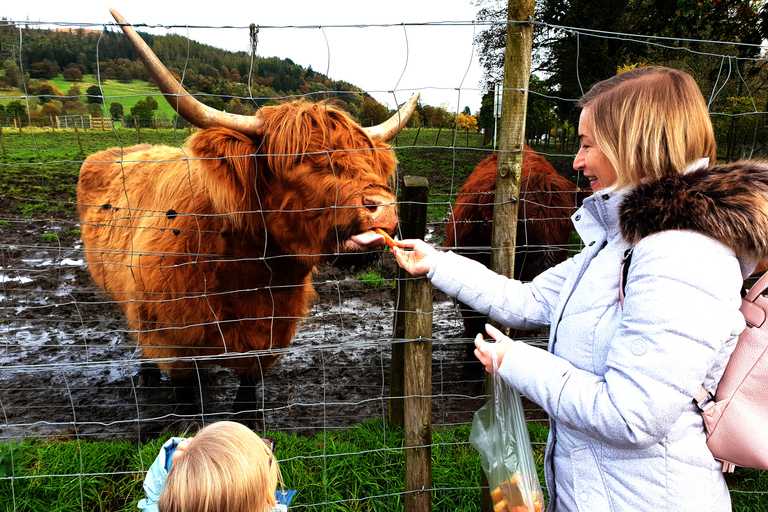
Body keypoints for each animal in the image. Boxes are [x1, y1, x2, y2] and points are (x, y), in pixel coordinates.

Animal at [77, 9, 416, 408]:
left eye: (369, 160)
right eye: (297, 158)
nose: (384, 207)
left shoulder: (266, 341)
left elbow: (247, 399)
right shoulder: (174, 343)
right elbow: (188, 404)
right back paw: (146, 375)